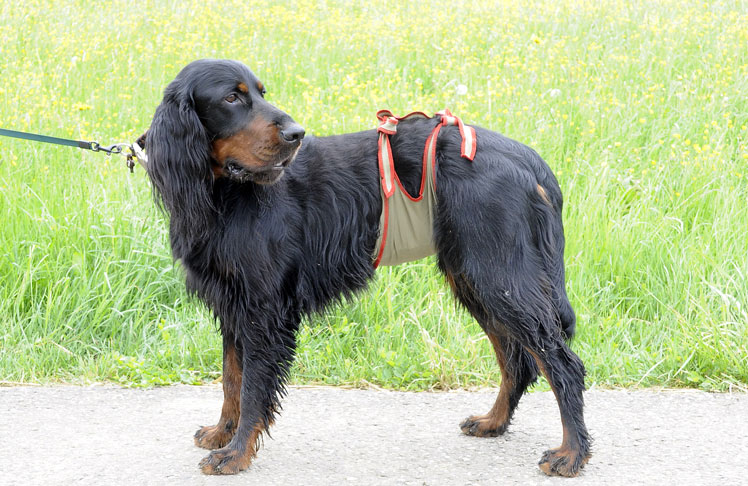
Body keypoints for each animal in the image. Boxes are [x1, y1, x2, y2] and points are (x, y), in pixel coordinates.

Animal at [145, 58, 592, 476]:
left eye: (259, 92)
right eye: (231, 98)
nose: (296, 134)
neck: (222, 193)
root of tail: (529, 160)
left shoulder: (264, 310)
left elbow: (253, 388)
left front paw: (235, 454)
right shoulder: (233, 304)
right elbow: (231, 378)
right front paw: (222, 433)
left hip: (497, 274)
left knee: (561, 363)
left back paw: (571, 454)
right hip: (476, 276)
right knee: (517, 360)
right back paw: (493, 422)